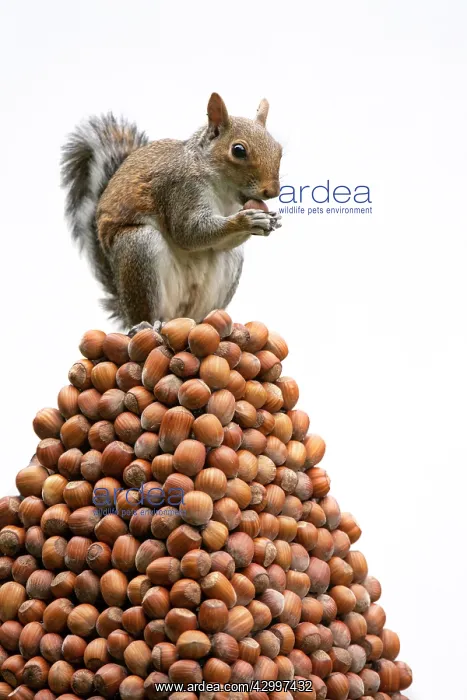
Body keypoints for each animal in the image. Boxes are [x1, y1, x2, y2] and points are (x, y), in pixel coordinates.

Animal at [61, 93, 282, 331]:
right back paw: (150, 326)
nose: (272, 191)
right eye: (238, 150)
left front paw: (271, 220)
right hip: (139, 248)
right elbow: (188, 232)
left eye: (279, 149)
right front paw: (245, 221)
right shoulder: (180, 189)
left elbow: (218, 242)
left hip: (226, 270)